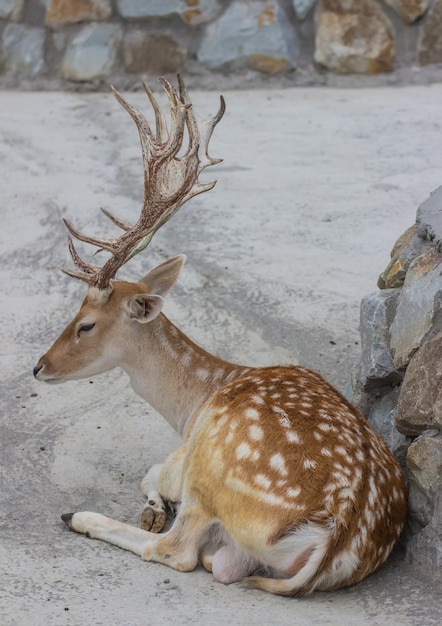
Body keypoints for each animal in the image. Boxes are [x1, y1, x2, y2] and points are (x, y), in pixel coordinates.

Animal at [33, 78, 408, 596]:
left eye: (86, 323)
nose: (39, 366)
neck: (195, 401)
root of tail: (337, 538)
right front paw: (152, 508)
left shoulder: (185, 458)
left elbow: (153, 474)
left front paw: (150, 508)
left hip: (211, 476)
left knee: (177, 551)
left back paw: (81, 516)